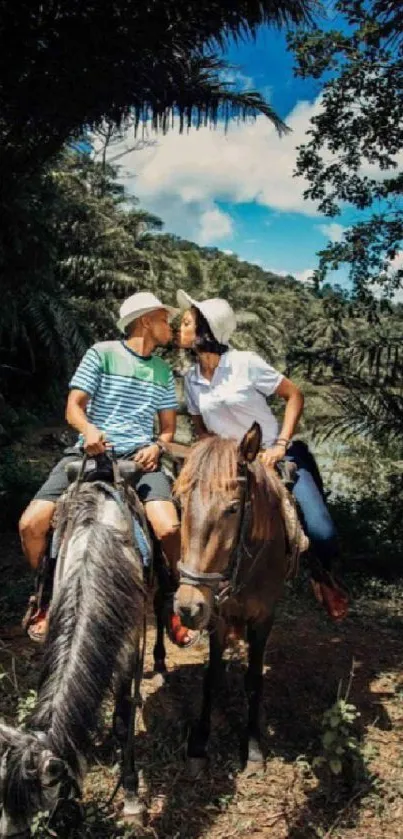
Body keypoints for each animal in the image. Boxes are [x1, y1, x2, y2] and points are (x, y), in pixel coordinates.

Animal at [175, 424, 292, 772]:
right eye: (181, 502)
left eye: (232, 508)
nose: (187, 607)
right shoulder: (219, 616)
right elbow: (211, 676)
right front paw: (200, 742)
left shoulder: (264, 618)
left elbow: (253, 680)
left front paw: (253, 749)